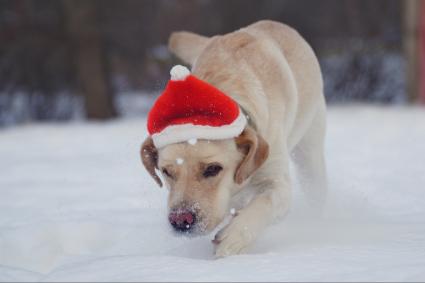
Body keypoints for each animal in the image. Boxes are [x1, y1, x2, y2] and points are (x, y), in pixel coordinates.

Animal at [140, 21, 324, 258]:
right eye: (166, 172)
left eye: (213, 169)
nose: (181, 221)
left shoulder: (277, 182)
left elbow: (264, 203)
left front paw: (233, 237)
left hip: (311, 150)